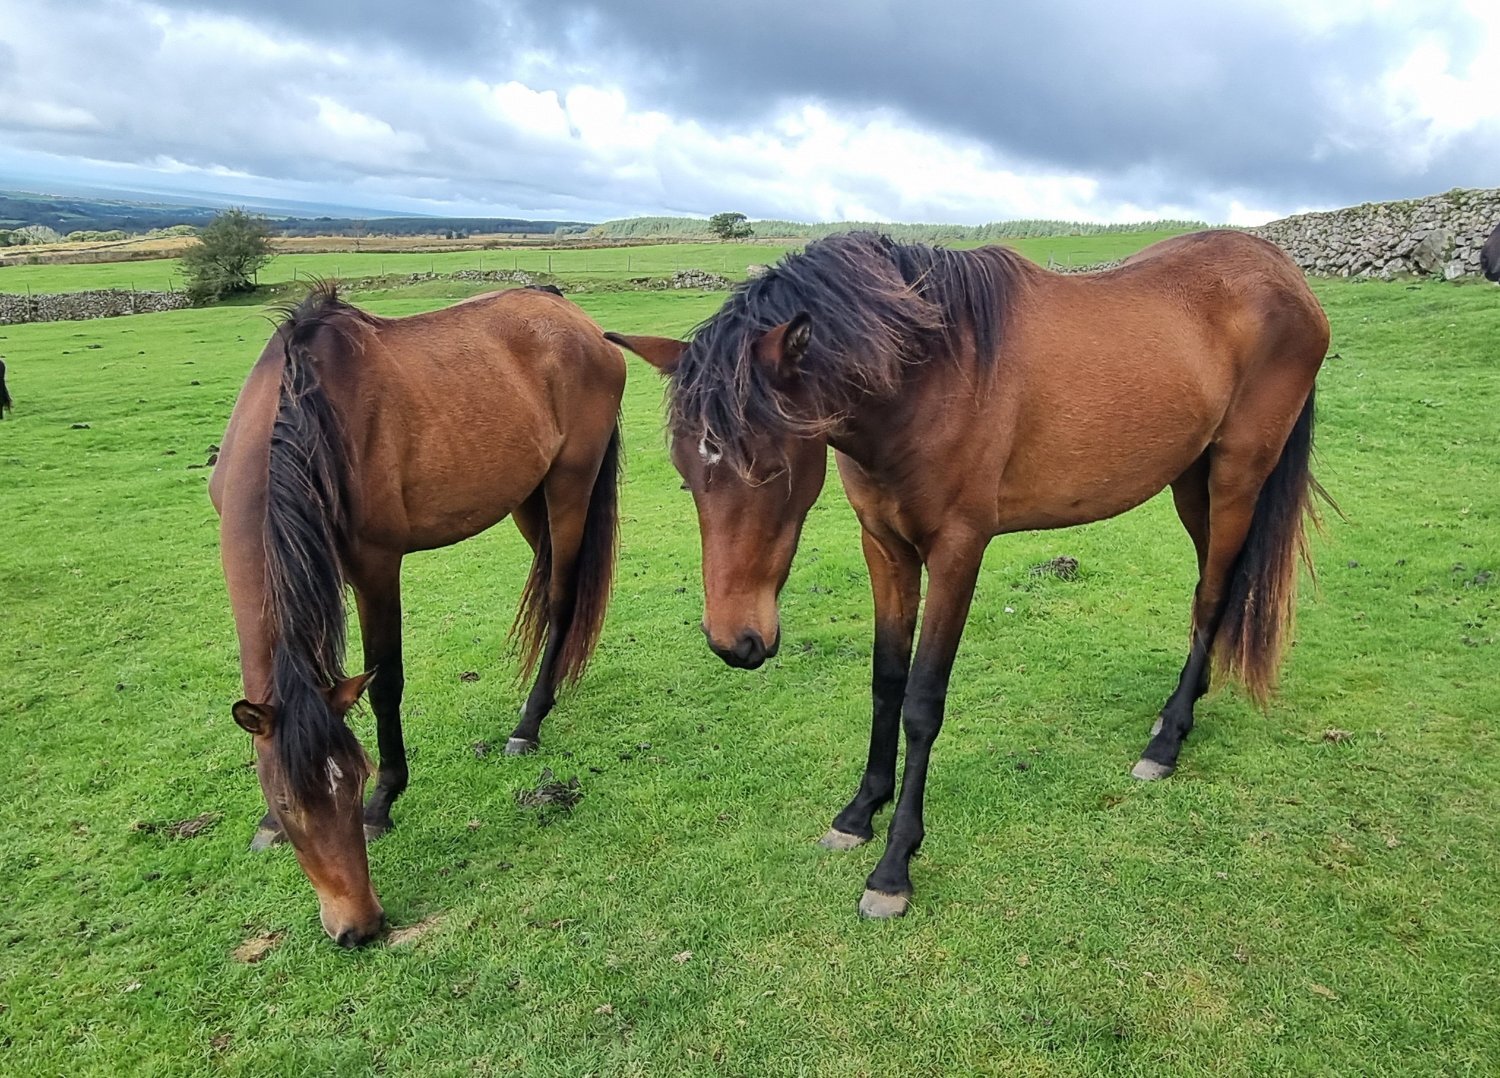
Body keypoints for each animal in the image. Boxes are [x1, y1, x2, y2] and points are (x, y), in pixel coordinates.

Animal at [210, 283, 624, 945]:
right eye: (291, 806)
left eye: (354, 783)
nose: (360, 926)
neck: (303, 417)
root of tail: (571, 314)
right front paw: (266, 826)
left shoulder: (376, 565)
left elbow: (386, 683)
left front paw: (385, 805)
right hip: (528, 497)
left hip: (569, 484)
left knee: (561, 599)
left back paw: (528, 723)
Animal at [608, 229, 1331, 919]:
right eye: (687, 474)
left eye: (771, 467)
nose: (735, 642)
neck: (932, 376)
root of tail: (1287, 277)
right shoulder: (886, 548)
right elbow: (886, 682)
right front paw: (859, 813)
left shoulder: (959, 551)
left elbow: (922, 702)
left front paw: (894, 867)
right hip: (1191, 480)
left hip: (1236, 476)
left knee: (1214, 593)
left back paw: (1168, 742)